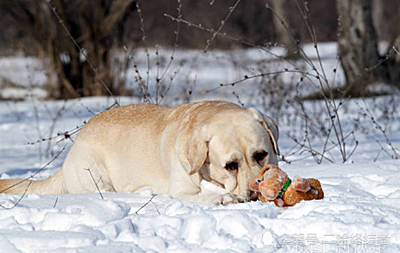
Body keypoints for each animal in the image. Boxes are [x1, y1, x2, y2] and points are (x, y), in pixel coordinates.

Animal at [0, 100, 278, 204]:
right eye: (231, 165)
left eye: (261, 154)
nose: (255, 192)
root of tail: (74, 145)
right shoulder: (180, 190)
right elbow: (205, 196)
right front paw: (223, 198)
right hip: (95, 177)